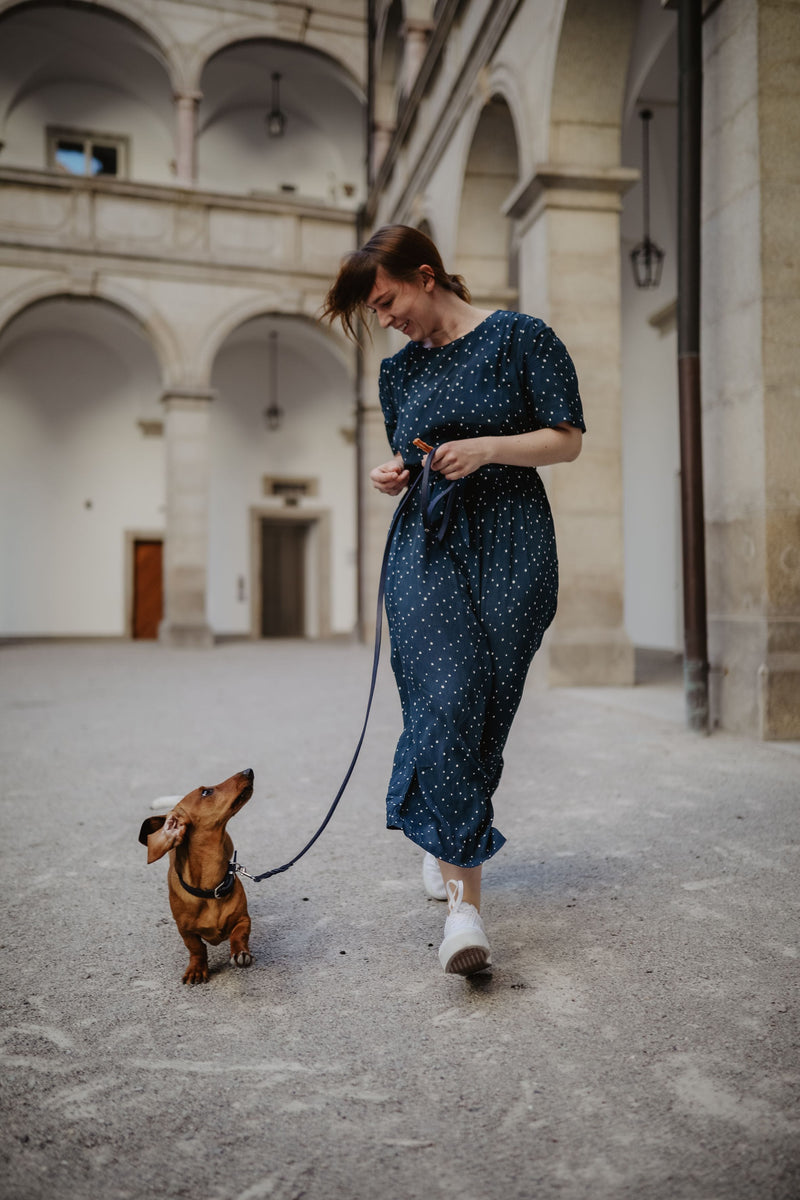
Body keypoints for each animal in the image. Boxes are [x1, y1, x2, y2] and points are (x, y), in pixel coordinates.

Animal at [139, 768, 255, 984]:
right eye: (206, 792)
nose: (248, 770)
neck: (211, 889)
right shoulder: (186, 931)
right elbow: (197, 948)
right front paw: (196, 969)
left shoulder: (243, 919)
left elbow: (239, 935)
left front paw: (241, 953)